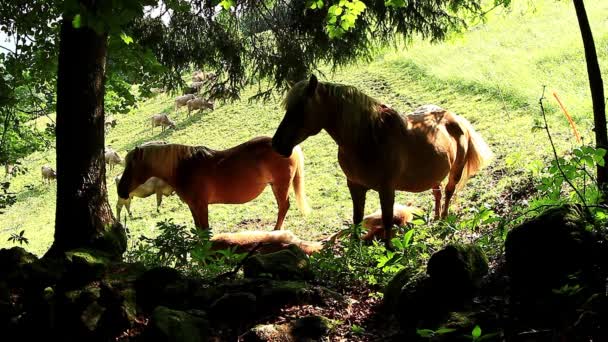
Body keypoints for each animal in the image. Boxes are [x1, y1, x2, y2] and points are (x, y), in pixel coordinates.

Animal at [117, 136, 312, 230]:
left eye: (131, 166)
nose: (121, 191)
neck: (185, 167)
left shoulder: (201, 206)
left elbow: (205, 231)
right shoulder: (193, 207)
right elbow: (199, 230)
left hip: (280, 185)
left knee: (283, 207)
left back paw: (275, 231)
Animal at [274, 75, 492, 248]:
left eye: (300, 109)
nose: (277, 144)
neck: (368, 139)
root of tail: (454, 118)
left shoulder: (386, 189)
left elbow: (387, 220)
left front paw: (389, 249)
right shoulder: (354, 185)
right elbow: (356, 219)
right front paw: (354, 249)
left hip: (456, 171)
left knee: (448, 192)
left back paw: (443, 220)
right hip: (434, 174)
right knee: (437, 193)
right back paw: (436, 218)